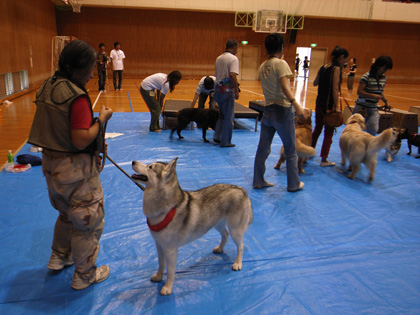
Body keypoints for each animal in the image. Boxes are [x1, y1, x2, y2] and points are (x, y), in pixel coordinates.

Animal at [131, 158, 253, 296]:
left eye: (150, 167)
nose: (133, 161)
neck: (165, 210)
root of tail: (241, 189)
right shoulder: (159, 245)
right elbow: (161, 263)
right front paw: (158, 276)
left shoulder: (170, 250)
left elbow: (171, 271)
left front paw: (168, 287)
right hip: (217, 223)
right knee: (225, 235)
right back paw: (220, 249)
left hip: (235, 230)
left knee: (241, 246)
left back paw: (237, 263)